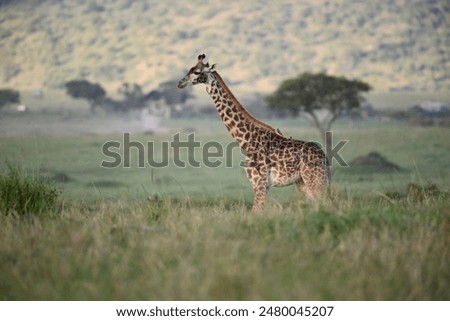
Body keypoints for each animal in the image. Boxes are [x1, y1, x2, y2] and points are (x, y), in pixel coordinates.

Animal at [177, 54, 330, 210]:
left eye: (197, 72)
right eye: (190, 69)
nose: (180, 83)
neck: (246, 141)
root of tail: (324, 157)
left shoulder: (259, 183)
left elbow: (256, 211)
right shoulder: (262, 184)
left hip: (315, 180)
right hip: (303, 183)